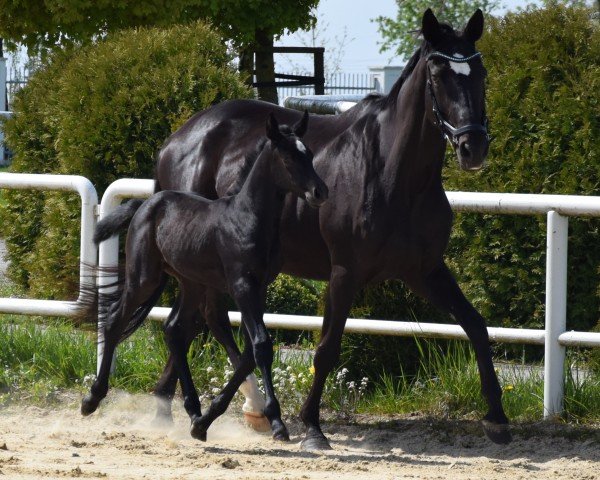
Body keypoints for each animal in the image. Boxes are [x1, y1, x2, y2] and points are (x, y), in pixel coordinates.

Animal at [80, 112, 328, 442]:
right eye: (288, 156)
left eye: (309, 154)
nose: (320, 192)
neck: (247, 218)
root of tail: (146, 203)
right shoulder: (241, 285)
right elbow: (261, 346)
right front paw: (276, 422)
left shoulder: (260, 287)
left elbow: (250, 351)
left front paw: (206, 422)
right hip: (144, 277)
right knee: (114, 320)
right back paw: (92, 398)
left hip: (192, 283)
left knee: (174, 328)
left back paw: (193, 410)